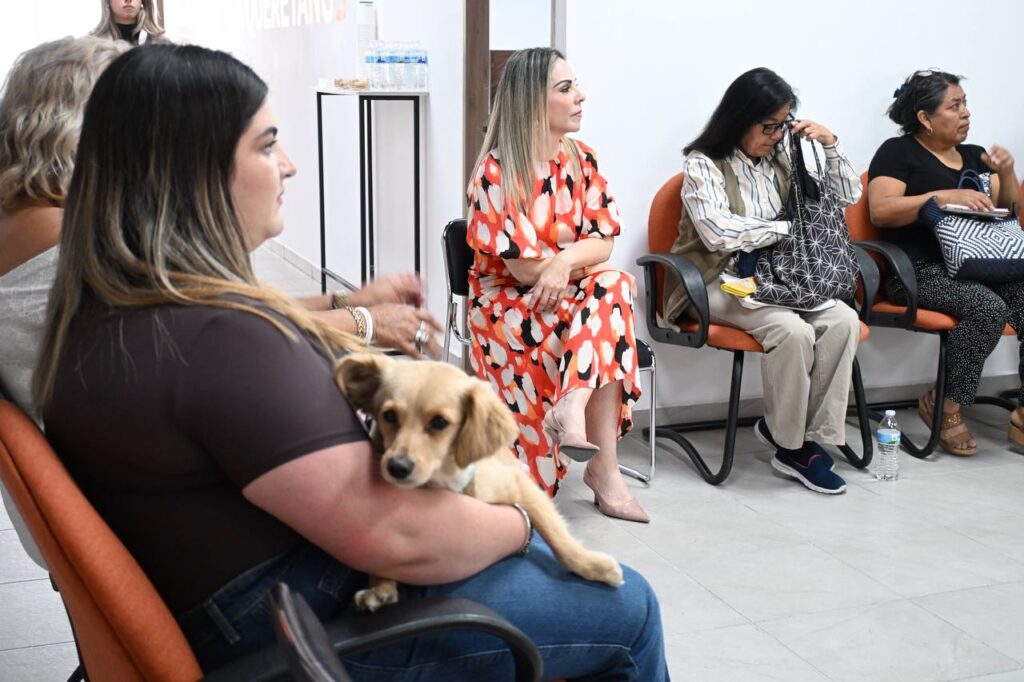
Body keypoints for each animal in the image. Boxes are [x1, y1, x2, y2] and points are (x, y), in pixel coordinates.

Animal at [335, 352, 624, 611]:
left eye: (439, 422)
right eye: (389, 416)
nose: (396, 467)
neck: (445, 481)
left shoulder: (522, 486)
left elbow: (559, 540)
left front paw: (595, 567)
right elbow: (383, 555)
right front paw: (380, 587)